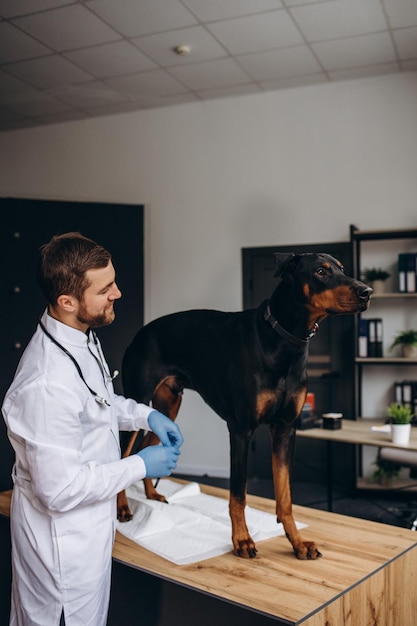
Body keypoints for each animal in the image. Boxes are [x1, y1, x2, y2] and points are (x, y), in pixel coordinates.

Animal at [117, 251, 370, 560]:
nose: (367, 291)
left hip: (166, 409)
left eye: (342, 269)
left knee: (146, 446)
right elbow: (238, 493)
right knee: (121, 453)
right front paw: (242, 540)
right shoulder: (241, 430)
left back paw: (152, 495)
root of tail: (140, 333)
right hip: (137, 401)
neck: (284, 340)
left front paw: (297, 542)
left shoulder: (285, 429)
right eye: (321, 271)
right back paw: (122, 508)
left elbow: (285, 495)